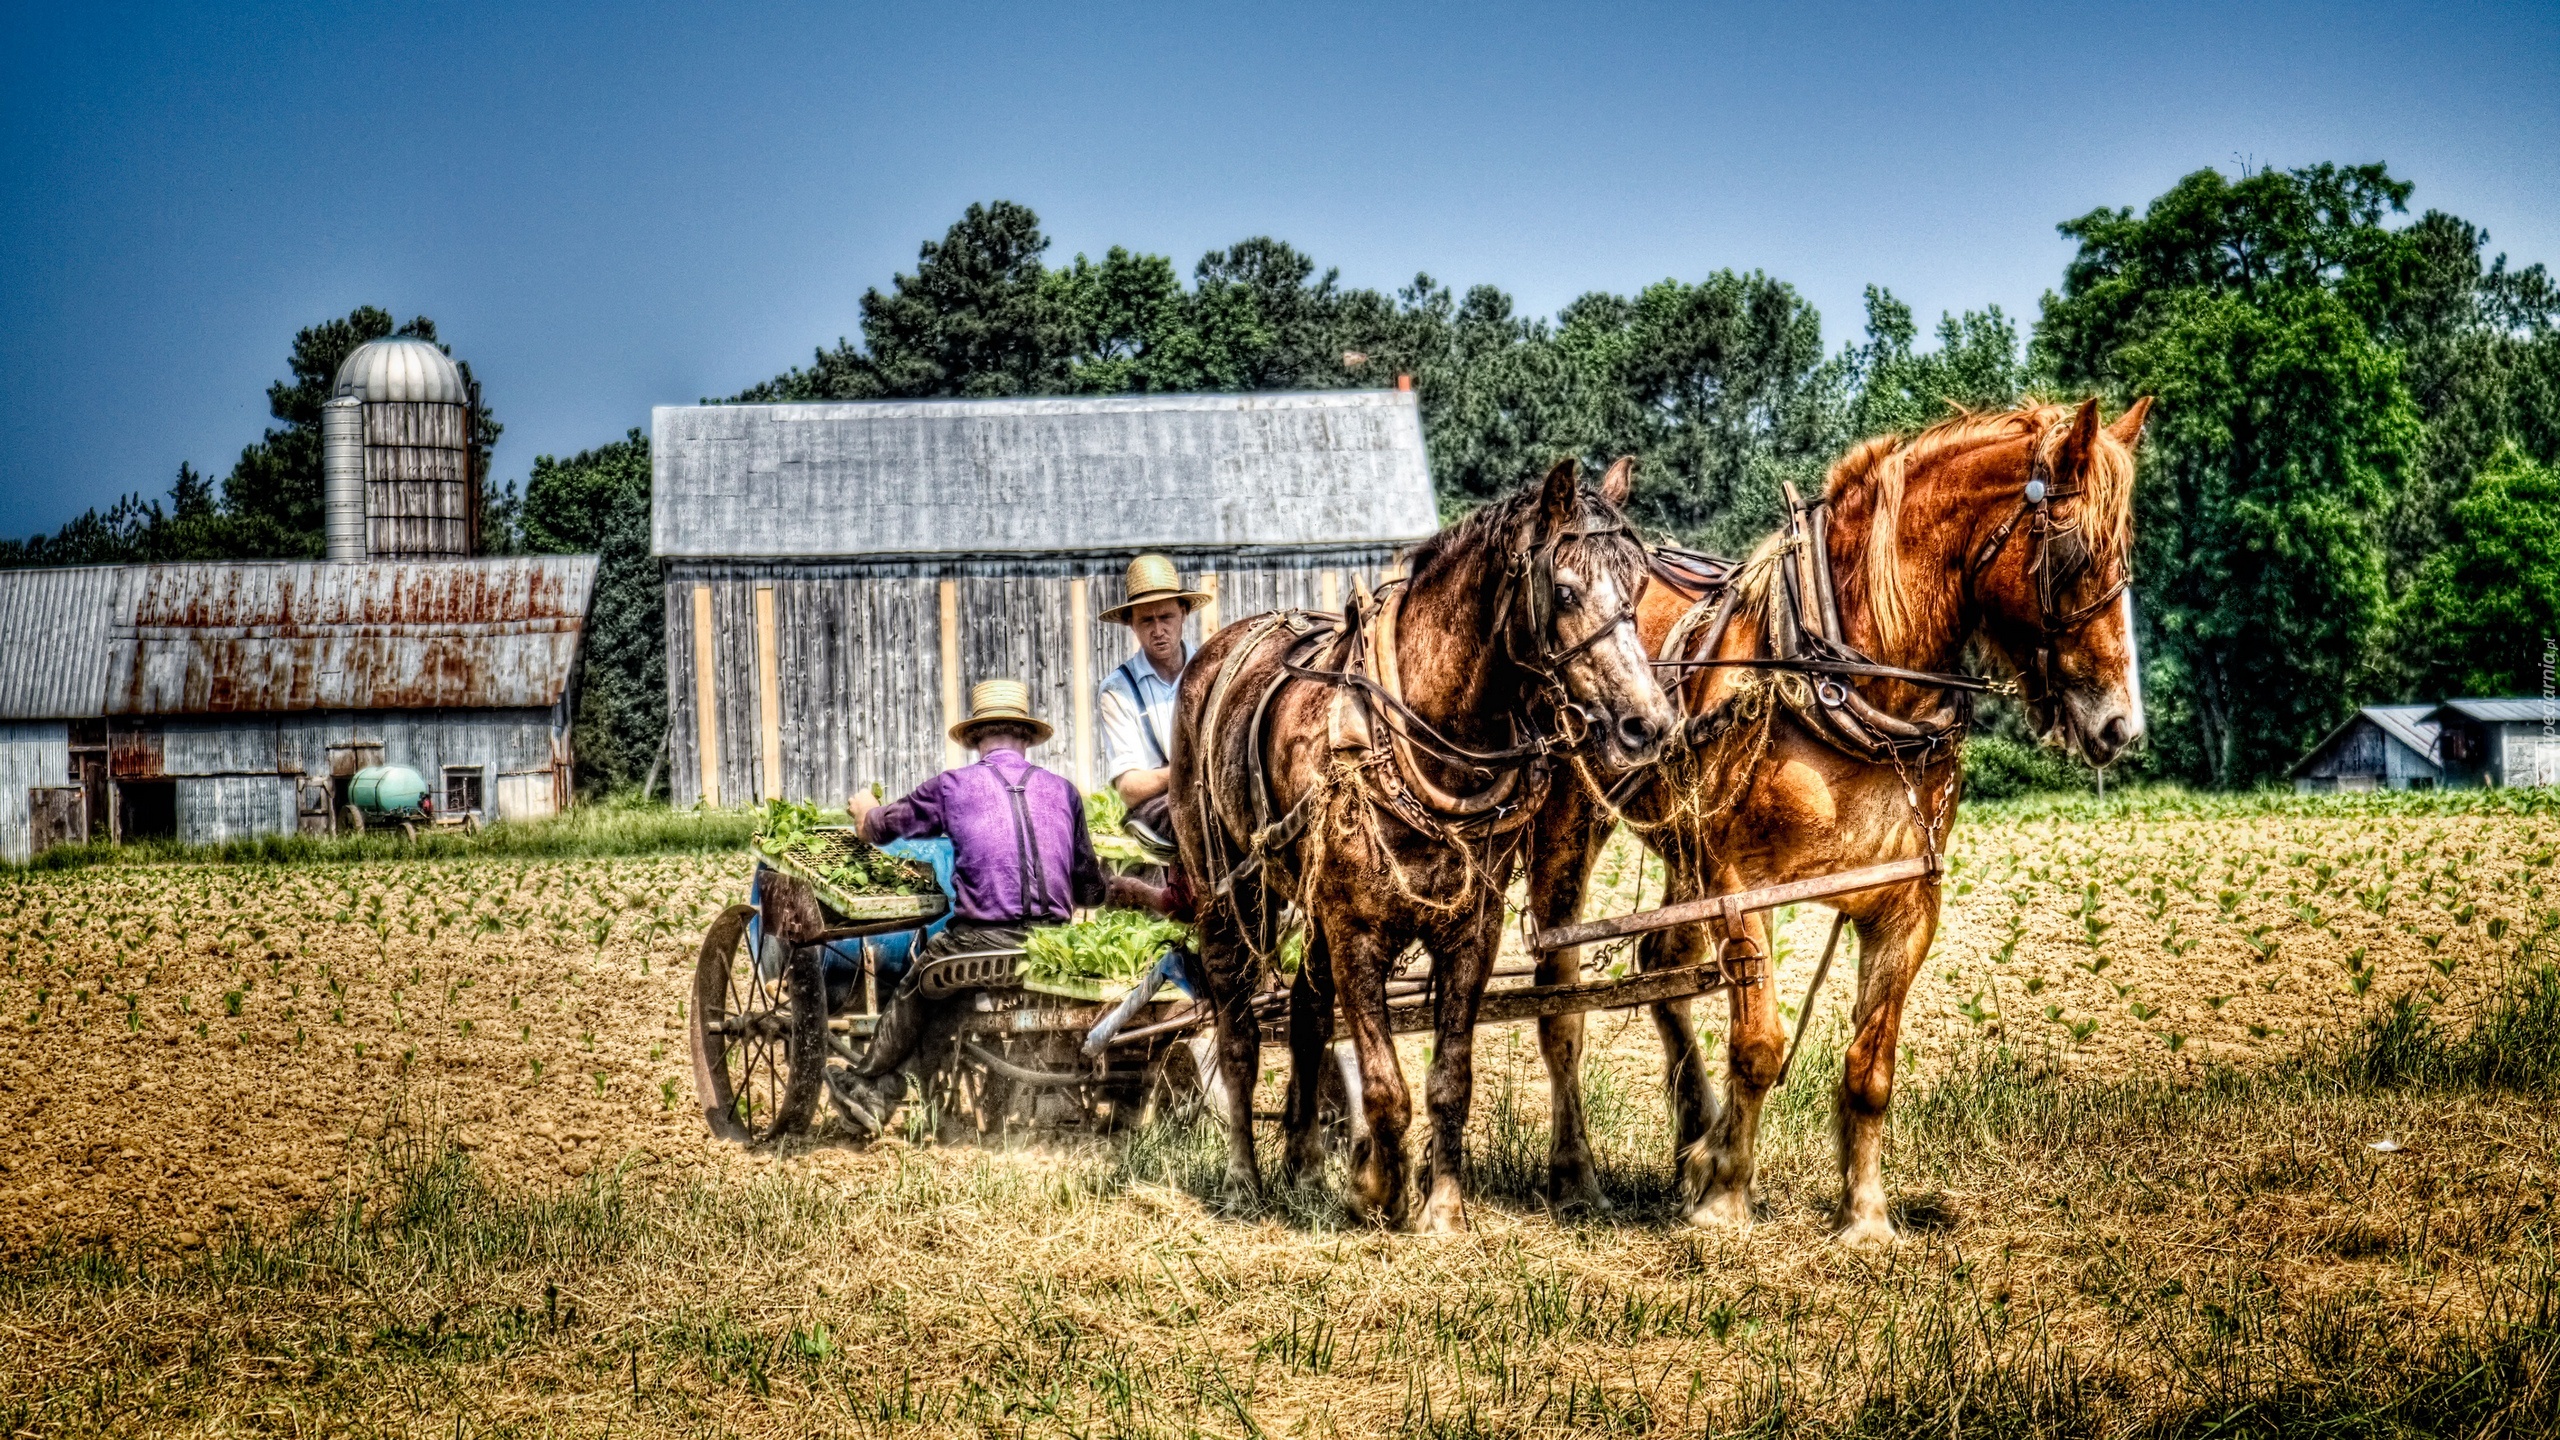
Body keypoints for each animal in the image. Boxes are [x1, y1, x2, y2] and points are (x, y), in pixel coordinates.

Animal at [1167, 453, 1679, 1229]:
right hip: (1226, 891)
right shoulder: (1355, 929)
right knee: (1238, 1034)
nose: (1647, 724)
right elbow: (1383, 1083)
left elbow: (1448, 1079)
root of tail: (1213, 654)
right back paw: (1243, 1180)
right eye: (1563, 590)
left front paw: (1440, 1207)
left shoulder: (1472, 929)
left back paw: (1303, 1166)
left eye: (1638, 586)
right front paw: (1380, 1188)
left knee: (1307, 1013)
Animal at [1525, 397, 2150, 1240]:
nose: (2120, 725)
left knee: (1660, 966)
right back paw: (1578, 1175)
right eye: (2074, 552)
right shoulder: (1740, 886)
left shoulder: (1908, 902)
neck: (1849, 680)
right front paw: (1726, 1195)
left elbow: (1870, 1066)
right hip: (1572, 822)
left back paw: (1693, 1139)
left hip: (1684, 851)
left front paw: (1865, 1216)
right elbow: (1758, 1045)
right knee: (1560, 1002)